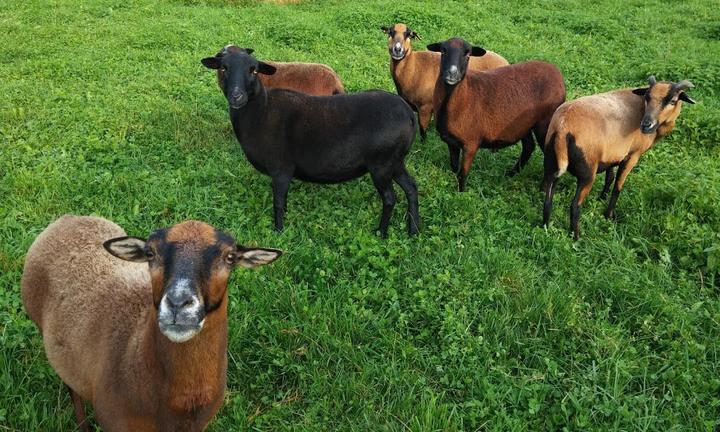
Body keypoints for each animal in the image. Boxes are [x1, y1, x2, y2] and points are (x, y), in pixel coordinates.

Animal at [380, 23, 510, 141]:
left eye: (409, 35)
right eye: (390, 32)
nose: (397, 49)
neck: (414, 66)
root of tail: (506, 62)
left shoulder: (425, 107)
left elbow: (422, 130)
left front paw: (424, 144)